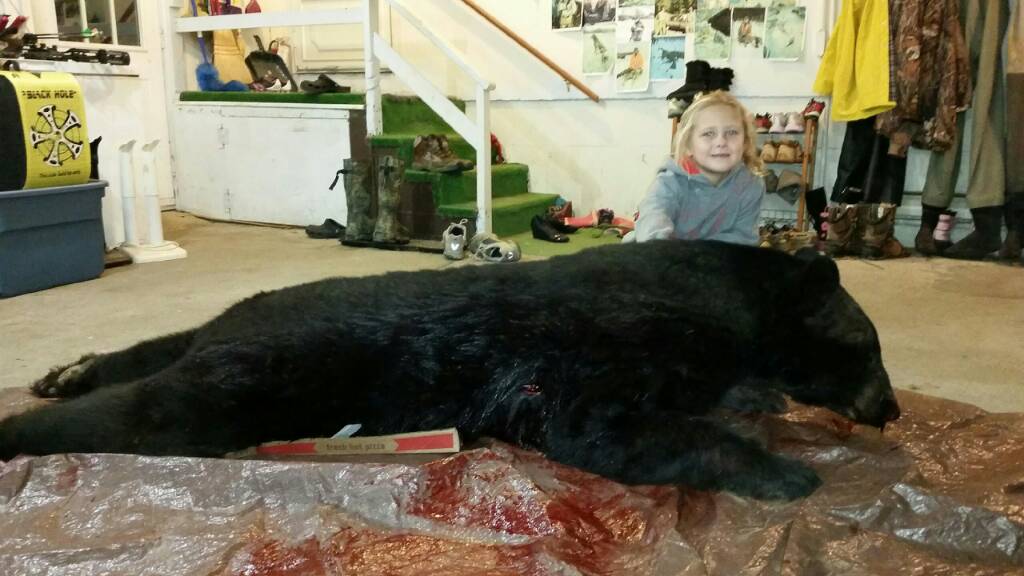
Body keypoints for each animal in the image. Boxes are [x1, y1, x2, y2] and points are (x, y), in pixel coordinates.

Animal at [0, 240, 900, 501]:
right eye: (869, 347)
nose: (891, 409)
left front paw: (762, 397)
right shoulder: (612, 348)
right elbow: (603, 426)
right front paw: (783, 470)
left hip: (233, 329)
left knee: (160, 347)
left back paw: (69, 370)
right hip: (254, 377)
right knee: (150, 409)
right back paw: (26, 421)